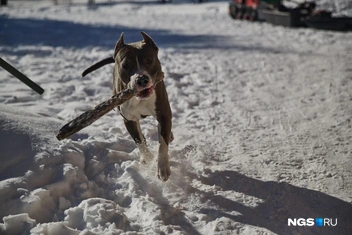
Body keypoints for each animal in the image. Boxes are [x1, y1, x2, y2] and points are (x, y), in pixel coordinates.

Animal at [81, 31, 172, 182]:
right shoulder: (129, 120)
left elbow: (163, 144)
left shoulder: (164, 113)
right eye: (126, 65)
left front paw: (162, 167)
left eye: (149, 61)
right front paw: (149, 160)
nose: (141, 79)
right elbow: (140, 143)